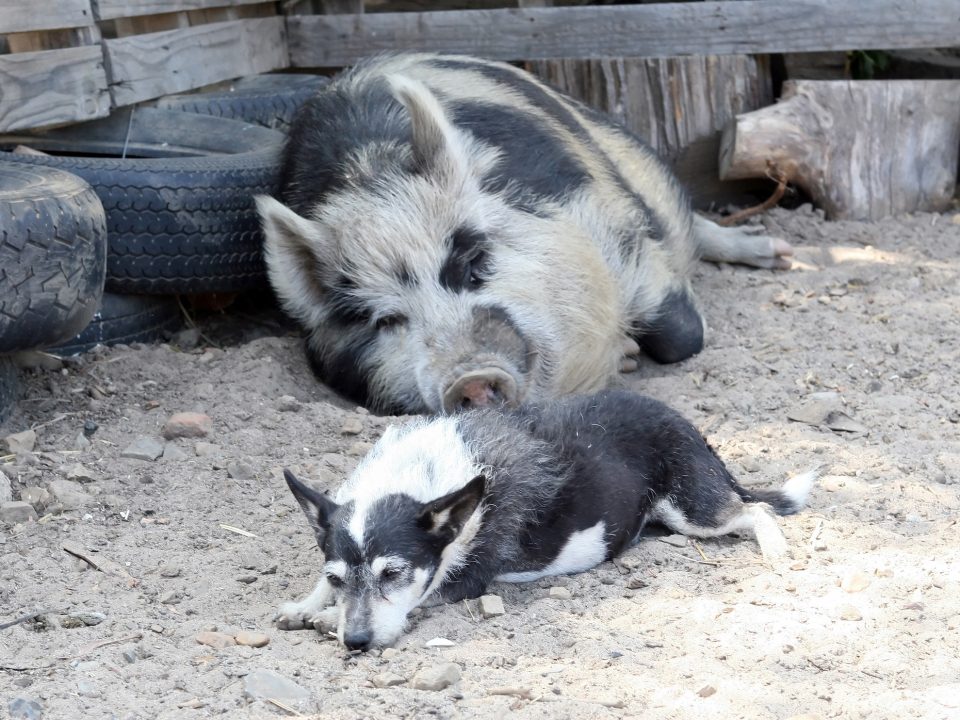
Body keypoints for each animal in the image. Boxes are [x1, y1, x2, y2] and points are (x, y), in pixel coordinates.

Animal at [255, 53, 788, 414]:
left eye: (472, 265)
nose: (469, 377)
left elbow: (683, 336)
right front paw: (629, 358)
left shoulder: (613, 222)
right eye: (385, 320)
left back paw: (778, 253)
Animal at [274, 390, 812, 648]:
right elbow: (320, 589)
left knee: (755, 509)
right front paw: (309, 606)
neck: (424, 476)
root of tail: (690, 426)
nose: (356, 642)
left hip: (694, 511)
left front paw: (326, 619)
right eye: (337, 577)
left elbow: (423, 594)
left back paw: (776, 550)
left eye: (393, 574)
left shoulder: (467, 578)